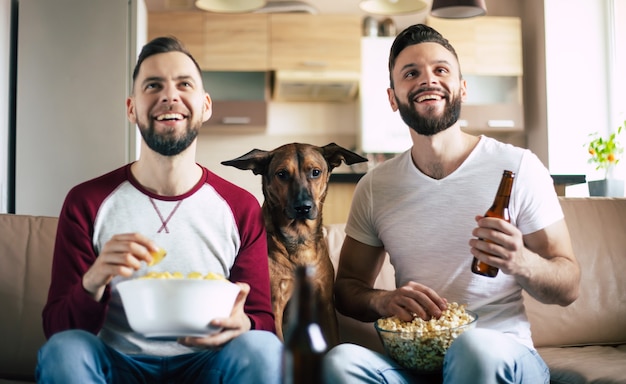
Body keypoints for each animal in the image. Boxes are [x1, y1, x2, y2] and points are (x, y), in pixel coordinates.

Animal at [222, 142, 366, 346]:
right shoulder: (275, 305)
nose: (303, 207)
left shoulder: (325, 304)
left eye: (315, 172)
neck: (299, 239)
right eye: (282, 174)